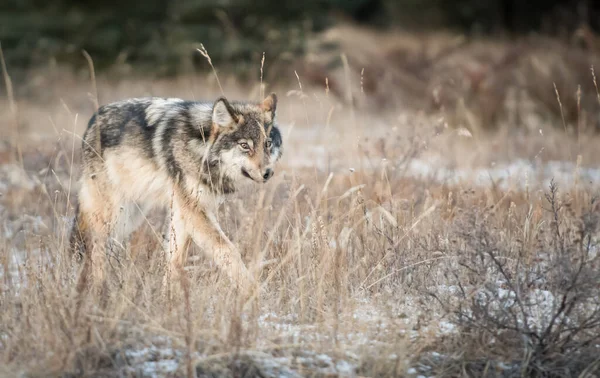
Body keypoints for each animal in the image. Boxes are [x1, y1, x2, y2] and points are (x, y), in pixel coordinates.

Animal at [69, 94, 284, 290]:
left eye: (267, 144)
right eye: (245, 145)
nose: (268, 173)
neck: (201, 147)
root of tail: (93, 120)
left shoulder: (183, 210)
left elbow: (175, 259)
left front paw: (169, 298)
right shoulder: (193, 209)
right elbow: (227, 250)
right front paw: (253, 292)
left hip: (129, 216)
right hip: (110, 214)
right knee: (95, 249)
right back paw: (99, 290)